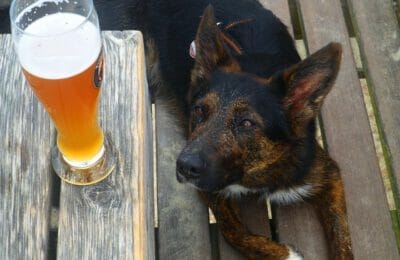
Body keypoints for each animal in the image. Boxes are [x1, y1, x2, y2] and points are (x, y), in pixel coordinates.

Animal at [137, 1, 354, 258]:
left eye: (247, 123)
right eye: (199, 110)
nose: (184, 167)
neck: (253, 170)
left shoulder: (327, 174)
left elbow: (343, 241)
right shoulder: (210, 189)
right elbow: (233, 232)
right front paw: (286, 254)